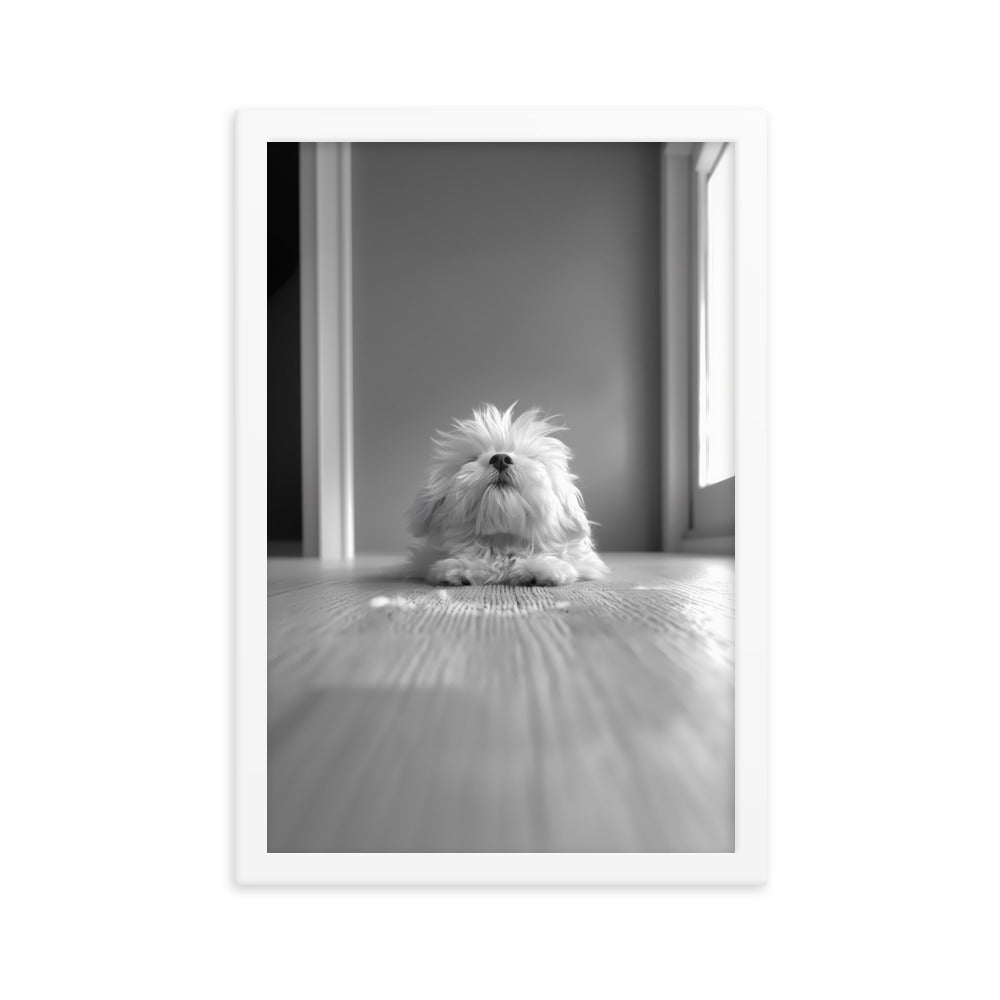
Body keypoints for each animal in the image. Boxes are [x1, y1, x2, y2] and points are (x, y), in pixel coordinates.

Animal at [408, 404, 608, 584]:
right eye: (472, 459)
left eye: (530, 458)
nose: (500, 458)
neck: (503, 541)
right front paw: (462, 568)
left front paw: (543, 567)